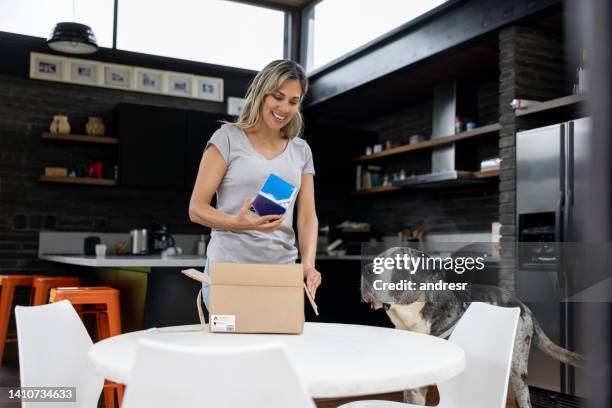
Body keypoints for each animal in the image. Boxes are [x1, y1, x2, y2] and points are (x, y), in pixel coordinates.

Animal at [360, 245, 584, 408]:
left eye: (397, 262)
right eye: (376, 259)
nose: (366, 269)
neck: (413, 320)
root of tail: (523, 305)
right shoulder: (414, 389)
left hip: (517, 369)